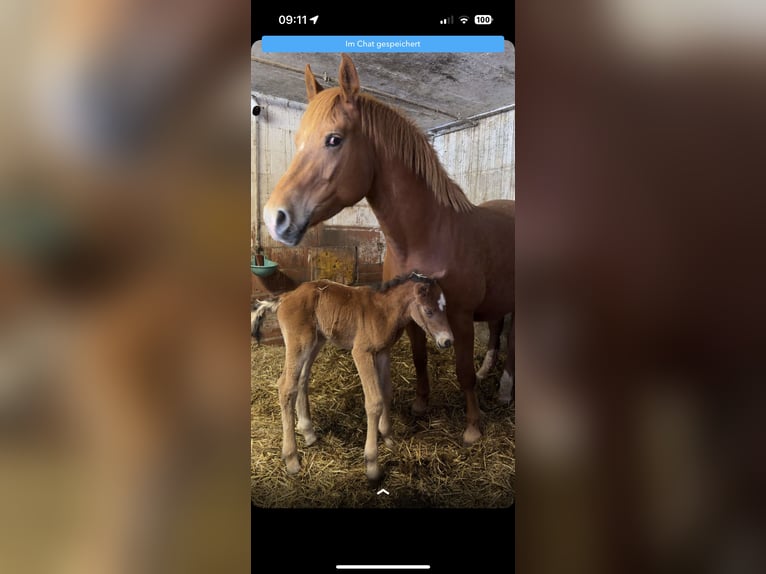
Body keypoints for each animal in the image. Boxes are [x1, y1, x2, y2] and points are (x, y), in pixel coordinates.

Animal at [251, 272, 453, 480]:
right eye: (428, 311)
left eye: (445, 307)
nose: (447, 341)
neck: (384, 310)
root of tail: (285, 297)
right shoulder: (362, 352)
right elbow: (374, 401)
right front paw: (372, 464)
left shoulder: (383, 352)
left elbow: (386, 393)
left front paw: (388, 438)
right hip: (299, 342)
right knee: (286, 385)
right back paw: (291, 459)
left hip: (316, 340)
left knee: (302, 379)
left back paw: (308, 432)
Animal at [263, 54, 514, 444]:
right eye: (298, 140)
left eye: (334, 139)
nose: (274, 217)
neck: (427, 234)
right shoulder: (414, 313)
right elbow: (419, 358)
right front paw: (421, 405)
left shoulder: (457, 316)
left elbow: (462, 370)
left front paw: (473, 427)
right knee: (499, 331)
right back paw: (492, 373)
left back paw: (504, 389)